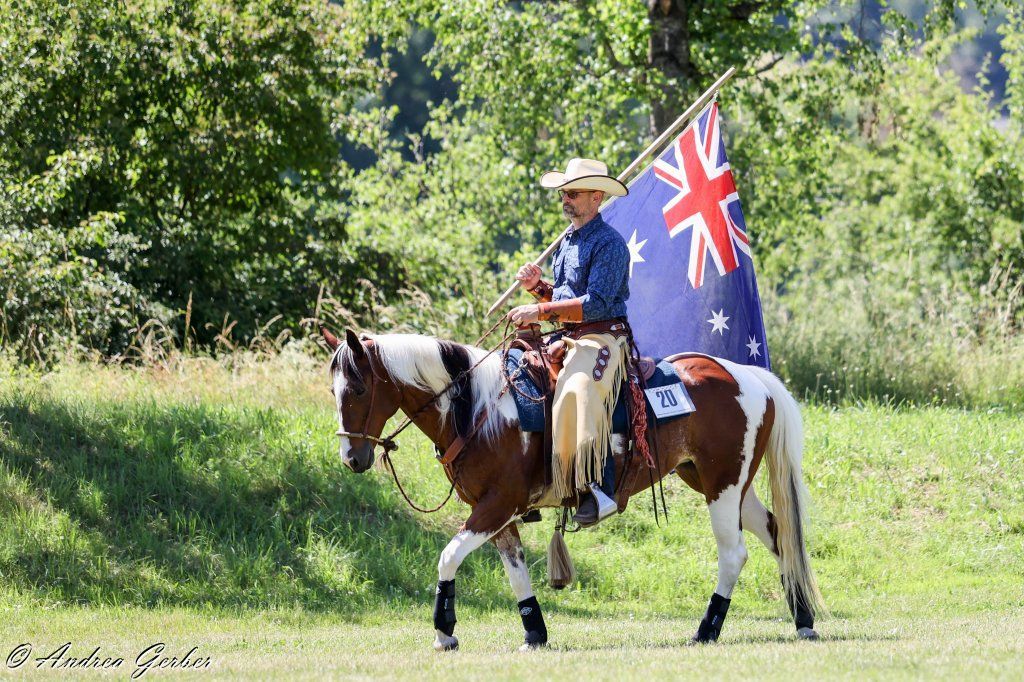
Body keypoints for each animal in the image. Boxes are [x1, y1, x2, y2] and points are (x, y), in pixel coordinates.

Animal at [322, 327, 824, 651]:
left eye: (360, 388)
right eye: (333, 390)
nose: (351, 458)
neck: (478, 409)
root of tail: (747, 375)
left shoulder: (496, 505)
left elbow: (448, 556)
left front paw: (444, 631)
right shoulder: (494, 511)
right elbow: (515, 570)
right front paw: (535, 633)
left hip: (723, 485)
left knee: (734, 553)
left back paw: (707, 629)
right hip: (719, 482)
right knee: (779, 535)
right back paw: (803, 620)